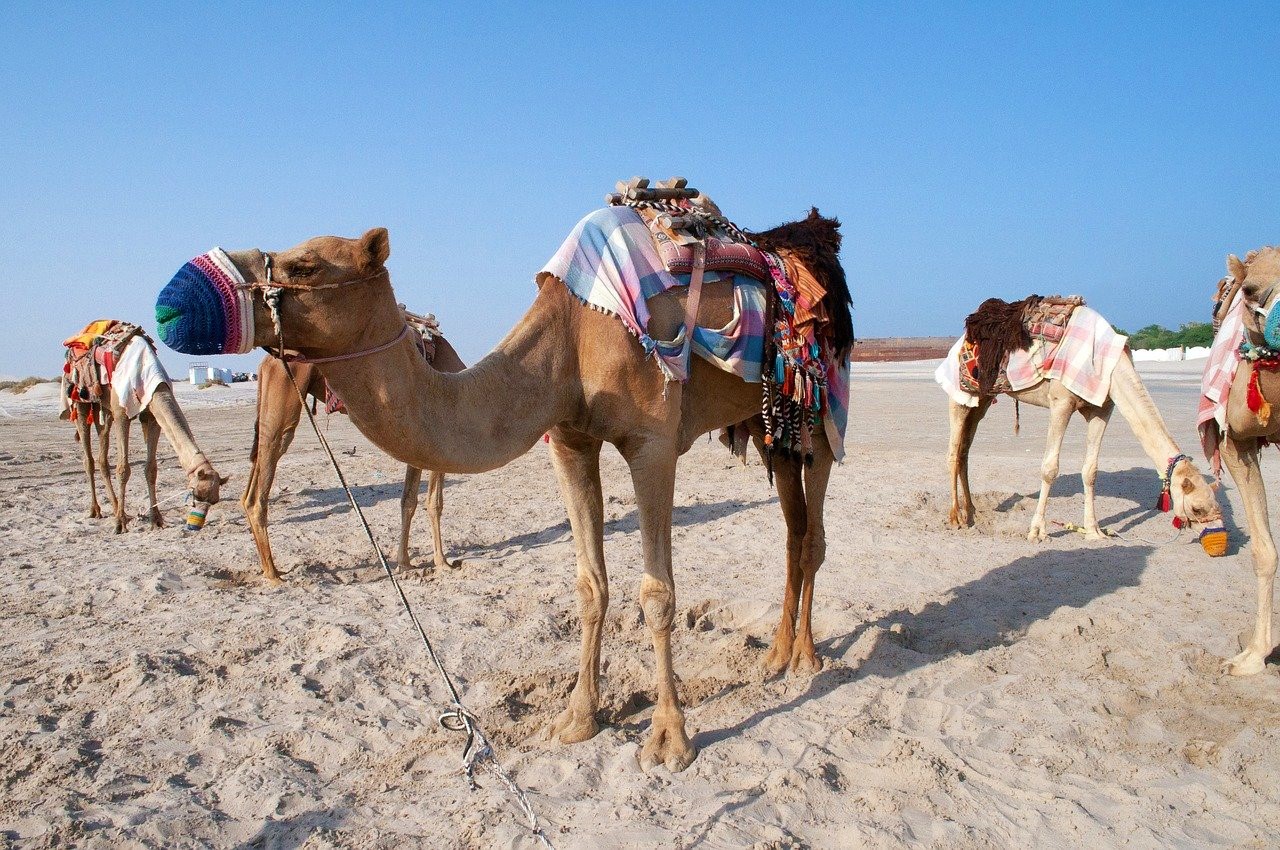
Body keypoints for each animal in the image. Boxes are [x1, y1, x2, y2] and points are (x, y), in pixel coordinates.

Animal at [244, 335, 466, 584]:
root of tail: (266, 363)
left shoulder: (417, 446)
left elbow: (408, 501)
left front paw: (404, 563)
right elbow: (434, 503)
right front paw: (442, 562)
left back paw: (268, 568)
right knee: (265, 475)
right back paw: (273, 573)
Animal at [944, 304, 1221, 542]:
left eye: (1215, 505)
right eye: (1197, 508)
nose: (1215, 535)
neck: (1112, 366)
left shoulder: (1102, 409)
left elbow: (1091, 471)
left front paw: (1093, 531)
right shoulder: (1061, 402)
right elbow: (1050, 468)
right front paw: (1037, 532)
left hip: (981, 400)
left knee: (965, 451)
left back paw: (972, 512)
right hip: (960, 395)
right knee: (954, 451)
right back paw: (956, 518)